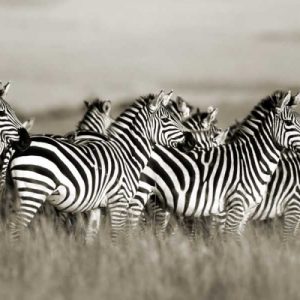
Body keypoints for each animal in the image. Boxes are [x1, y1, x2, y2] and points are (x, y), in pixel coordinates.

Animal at [7, 89, 197, 241]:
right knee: (15, 229)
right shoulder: (119, 200)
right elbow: (117, 235)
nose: (192, 141)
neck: (127, 154)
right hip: (33, 192)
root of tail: (18, 147)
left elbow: (90, 237)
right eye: (166, 119)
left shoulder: (96, 207)